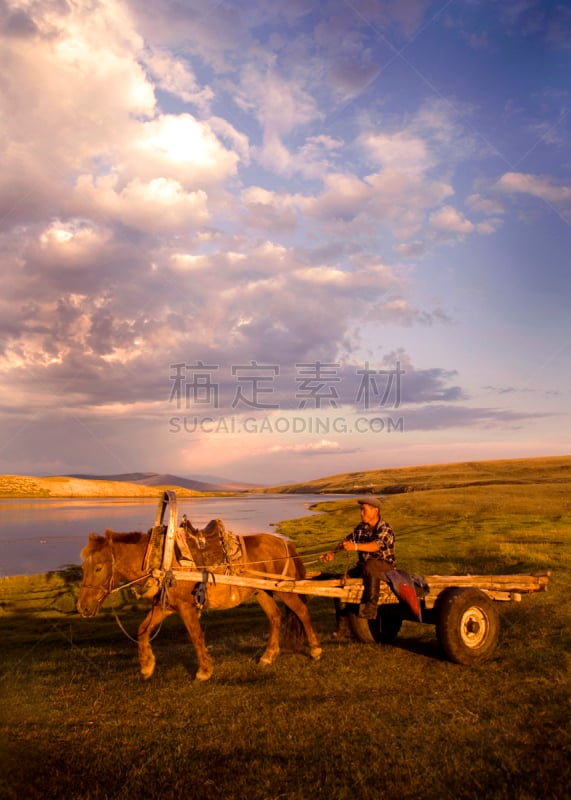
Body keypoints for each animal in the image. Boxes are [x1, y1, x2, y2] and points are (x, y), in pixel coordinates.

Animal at [77, 524, 322, 680]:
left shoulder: (186, 607)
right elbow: (142, 630)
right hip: (262, 591)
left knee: (301, 611)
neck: (161, 560)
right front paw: (147, 666)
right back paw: (268, 656)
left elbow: (195, 636)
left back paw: (315, 650)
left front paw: (204, 671)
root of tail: (285, 543)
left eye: (98, 568)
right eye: (83, 567)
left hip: (285, 589)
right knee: (275, 617)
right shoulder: (165, 607)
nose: (83, 607)